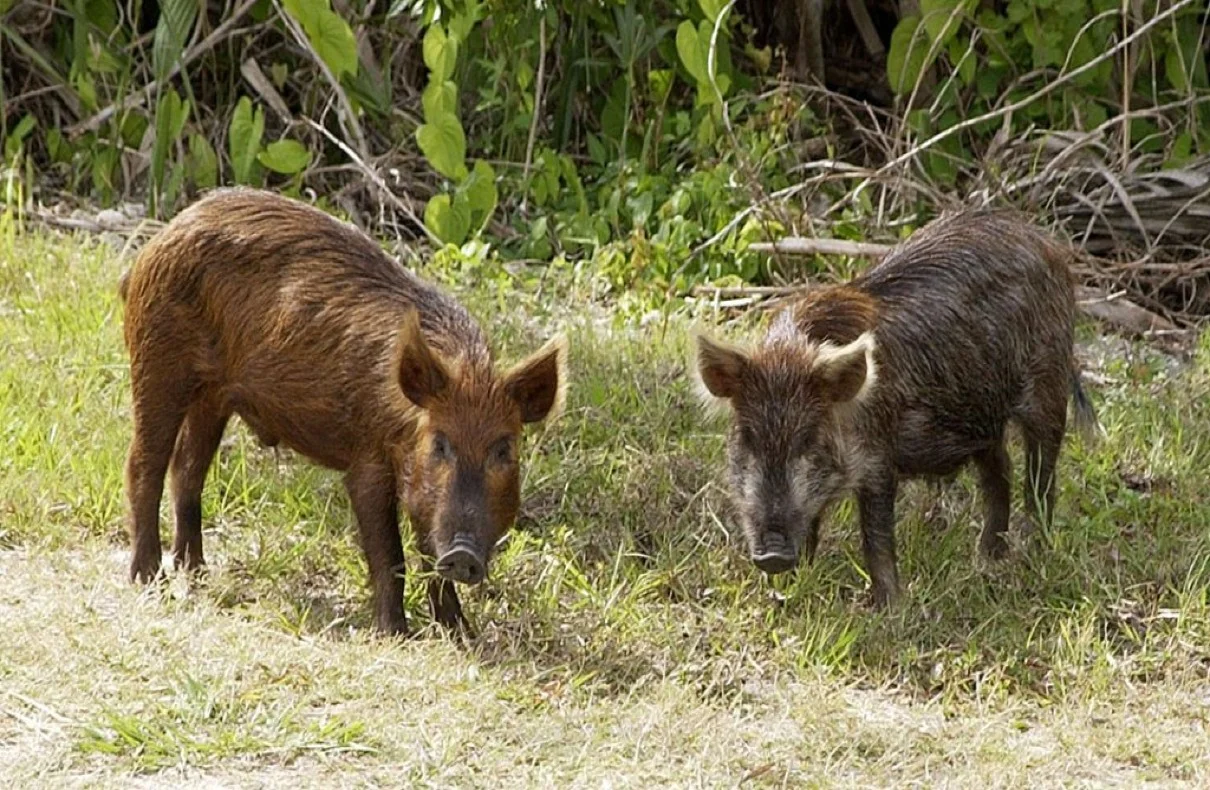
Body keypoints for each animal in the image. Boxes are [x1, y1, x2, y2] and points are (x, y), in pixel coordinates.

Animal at [120, 186, 563, 633]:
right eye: (440, 443)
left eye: (504, 449)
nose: (463, 554)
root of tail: (160, 239)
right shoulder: (367, 461)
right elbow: (390, 555)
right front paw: (394, 634)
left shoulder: (421, 488)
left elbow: (426, 552)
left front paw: (460, 633)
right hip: (157, 360)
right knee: (144, 464)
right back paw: (149, 579)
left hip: (213, 396)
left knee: (187, 469)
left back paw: (195, 571)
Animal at [692, 208, 1098, 604]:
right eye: (747, 438)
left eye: (809, 439)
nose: (773, 555)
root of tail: (1045, 242)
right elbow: (812, 526)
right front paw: (788, 590)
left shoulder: (878, 459)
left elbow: (876, 536)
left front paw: (888, 607)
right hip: (982, 418)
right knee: (1000, 470)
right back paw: (988, 558)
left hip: (1047, 387)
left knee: (1041, 479)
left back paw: (1033, 554)